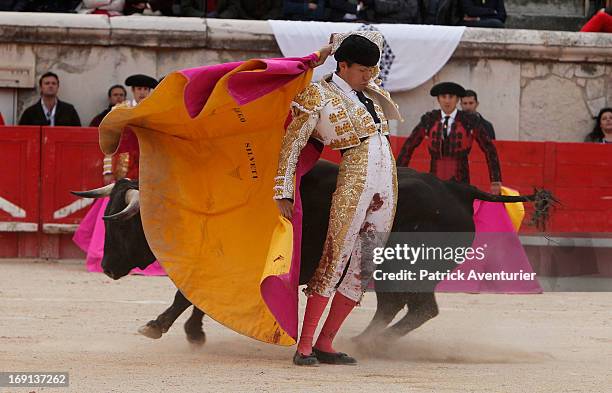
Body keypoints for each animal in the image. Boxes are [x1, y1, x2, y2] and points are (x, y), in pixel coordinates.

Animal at [74, 161, 552, 344]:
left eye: (120, 223)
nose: (109, 267)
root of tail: (456, 188)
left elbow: (185, 294)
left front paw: (157, 327)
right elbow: (196, 296)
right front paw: (192, 332)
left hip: (403, 271)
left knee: (416, 309)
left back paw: (368, 343)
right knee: (402, 308)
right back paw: (362, 340)